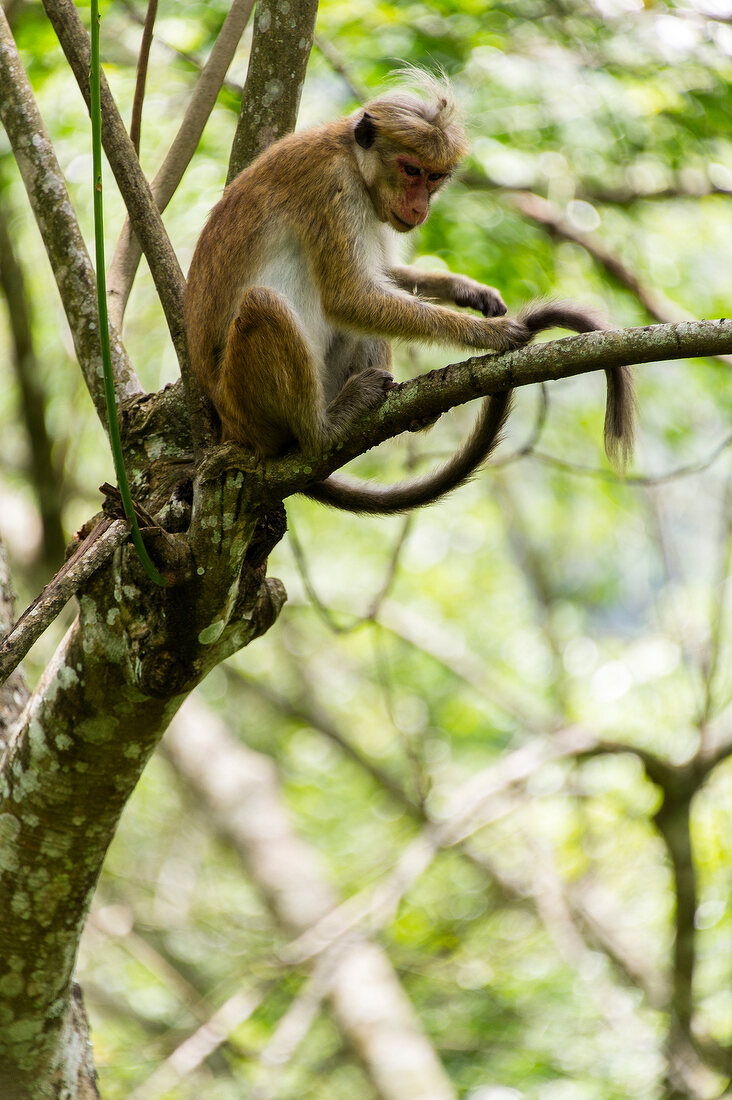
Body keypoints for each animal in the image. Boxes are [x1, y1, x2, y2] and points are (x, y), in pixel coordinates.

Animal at [183, 75, 634, 512]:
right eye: (411, 170)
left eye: (434, 177)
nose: (420, 208)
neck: (352, 159)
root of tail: (230, 429)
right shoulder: (331, 185)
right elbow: (350, 296)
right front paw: (490, 333)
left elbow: (381, 279)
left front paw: (465, 290)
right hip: (246, 407)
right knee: (265, 304)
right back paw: (322, 432)